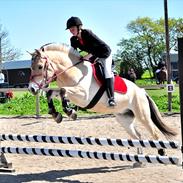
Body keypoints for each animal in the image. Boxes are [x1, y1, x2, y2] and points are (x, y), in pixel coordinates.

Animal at [28, 43, 176, 157]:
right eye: (30, 68)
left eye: (40, 66)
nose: (31, 89)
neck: (73, 71)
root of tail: (142, 91)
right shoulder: (69, 93)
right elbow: (52, 93)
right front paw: (56, 114)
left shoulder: (83, 95)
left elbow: (64, 91)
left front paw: (70, 112)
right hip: (124, 118)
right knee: (137, 137)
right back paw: (139, 160)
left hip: (142, 115)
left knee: (154, 132)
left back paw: (162, 153)